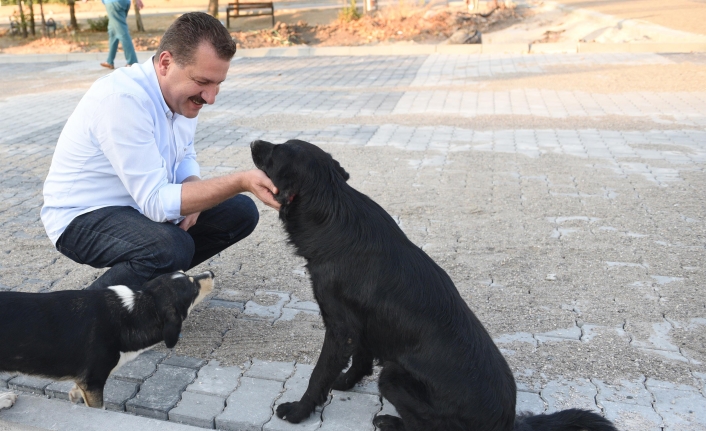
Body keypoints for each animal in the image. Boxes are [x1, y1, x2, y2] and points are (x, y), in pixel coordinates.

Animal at [0, 270, 213, 408]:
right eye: (194, 287)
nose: (211, 273)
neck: (136, 309)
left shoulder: (86, 382)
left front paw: (74, 394)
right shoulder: (94, 381)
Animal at [250, 139, 612, 431]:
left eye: (277, 152)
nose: (254, 141)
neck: (332, 209)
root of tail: (507, 424)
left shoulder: (341, 328)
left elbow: (318, 375)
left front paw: (299, 410)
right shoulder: (363, 324)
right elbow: (361, 359)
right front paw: (346, 382)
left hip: (393, 376)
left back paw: (390, 422)